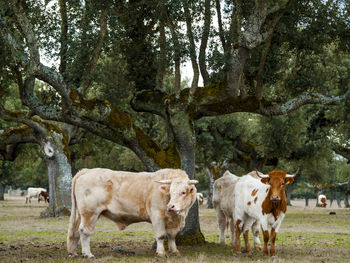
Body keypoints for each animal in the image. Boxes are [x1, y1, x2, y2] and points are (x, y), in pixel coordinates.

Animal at [65, 168, 197, 258]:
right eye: (170, 191)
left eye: (183, 192)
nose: (171, 206)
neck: (178, 217)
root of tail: (87, 171)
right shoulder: (157, 215)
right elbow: (160, 235)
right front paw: (161, 253)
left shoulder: (173, 222)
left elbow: (172, 236)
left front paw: (174, 251)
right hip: (90, 212)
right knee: (85, 231)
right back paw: (88, 254)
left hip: (81, 214)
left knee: (75, 231)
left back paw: (74, 253)